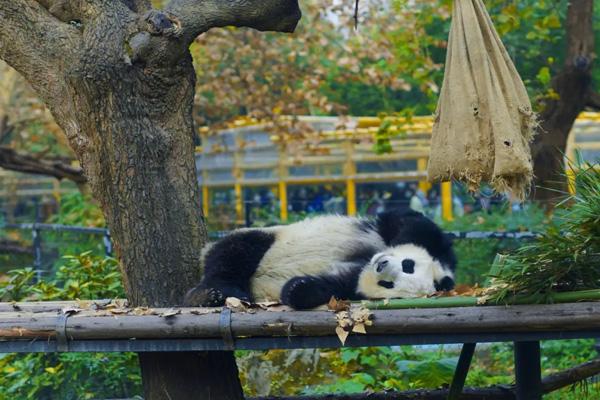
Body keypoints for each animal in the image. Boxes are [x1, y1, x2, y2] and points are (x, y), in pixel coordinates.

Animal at [185, 209, 458, 310]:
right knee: (235, 253)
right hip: (266, 237)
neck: (363, 263)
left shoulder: (351, 287)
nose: (381, 266)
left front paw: (296, 287)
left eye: (388, 285)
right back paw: (211, 294)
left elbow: (327, 288)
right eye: (408, 265)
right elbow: (406, 222)